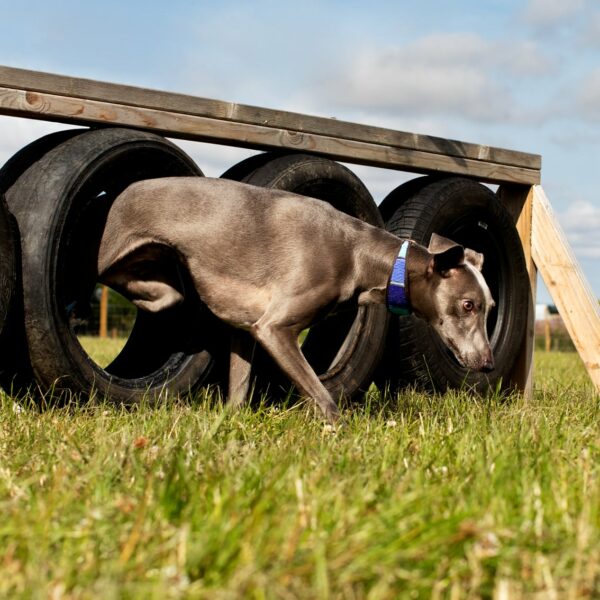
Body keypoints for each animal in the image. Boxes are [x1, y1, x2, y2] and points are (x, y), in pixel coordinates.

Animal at [97, 176, 492, 424]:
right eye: (468, 305)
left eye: (489, 308)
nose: (487, 364)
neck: (359, 254)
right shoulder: (274, 328)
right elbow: (324, 398)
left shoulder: (245, 329)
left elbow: (238, 393)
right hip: (111, 253)